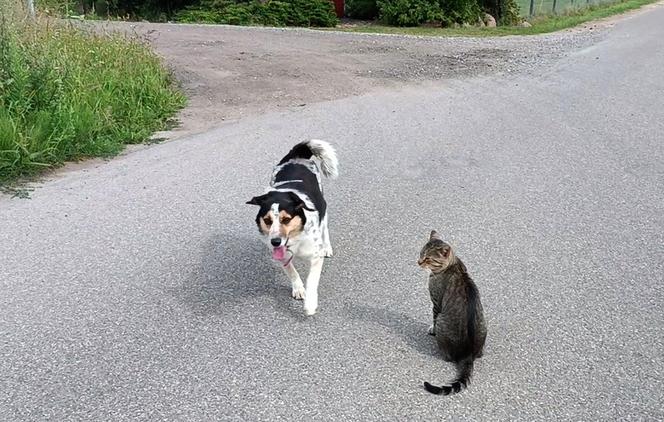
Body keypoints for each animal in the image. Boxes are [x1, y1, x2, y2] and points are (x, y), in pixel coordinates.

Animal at [249, 140, 342, 314]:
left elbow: (312, 280)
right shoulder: (282, 256)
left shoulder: (316, 256)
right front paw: (298, 288)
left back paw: (327, 247)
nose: (275, 242)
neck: (295, 239)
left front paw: (310, 303)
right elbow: (292, 271)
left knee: (325, 228)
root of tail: (297, 156)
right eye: (267, 220)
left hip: (323, 206)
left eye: (286, 219)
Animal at [420, 229, 488, 394]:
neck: (453, 263)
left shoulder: (436, 303)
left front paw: (432, 329)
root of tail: (468, 354)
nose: (418, 262)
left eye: (427, 258)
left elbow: (433, 317)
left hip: (442, 321)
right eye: (420, 254)